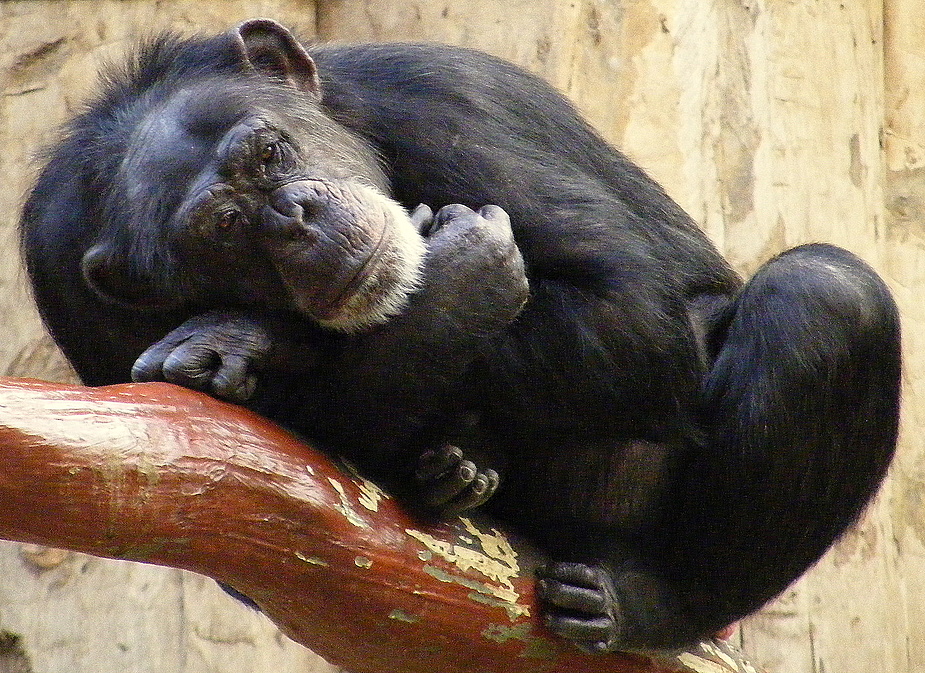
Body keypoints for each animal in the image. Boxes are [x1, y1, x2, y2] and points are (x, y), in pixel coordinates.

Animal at [21, 19, 900, 652]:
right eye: (227, 229)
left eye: (268, 152)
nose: (294, 215)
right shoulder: (60, 270)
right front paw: (442, 296)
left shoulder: (447, 107)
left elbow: (634, 310)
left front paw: (255, 335)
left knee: (826, 297)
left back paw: (651, 603)